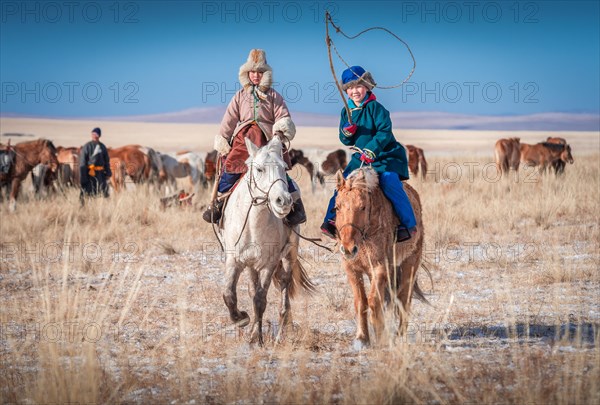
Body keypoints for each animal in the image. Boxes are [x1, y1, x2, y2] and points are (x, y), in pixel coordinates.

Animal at [220, 136, 314, 344]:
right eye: (259, 169)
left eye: (283, 168)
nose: (283, 201)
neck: (253, 224)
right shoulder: (234, 260)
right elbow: (229, 294)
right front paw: (242, 319)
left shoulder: (268, 264)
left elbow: (260, 300)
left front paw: (257, 337)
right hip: (251, 265)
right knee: (252, 289)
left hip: (289, 256)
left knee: (284, 289)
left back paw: (280, 334)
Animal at [332, 166, 426, 348]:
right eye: (337, 207)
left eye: (362, 207)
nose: (348, 249)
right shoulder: (352, 269)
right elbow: (361, 302)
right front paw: (362, 338)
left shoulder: (380, 268)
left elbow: (374, 301)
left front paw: (380, 338)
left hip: (410, 263)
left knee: (404, 298)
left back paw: (400, 335)